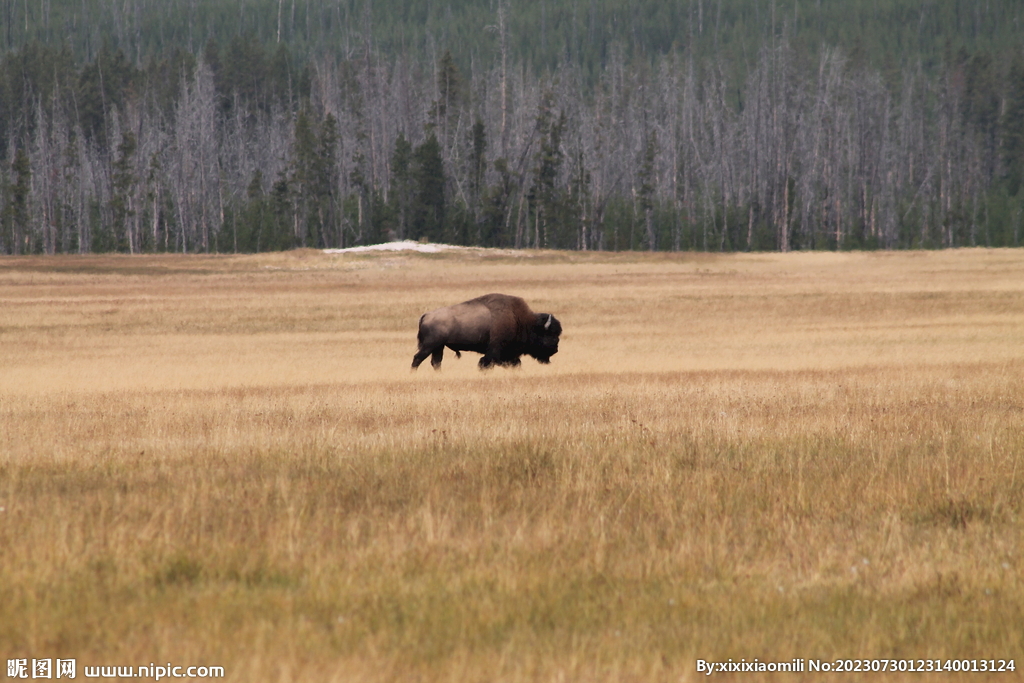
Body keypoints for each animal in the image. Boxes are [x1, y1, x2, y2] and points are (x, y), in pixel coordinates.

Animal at [411, 292, 565, 370]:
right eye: (549, 334)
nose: (556, 349)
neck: (520, 320)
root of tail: (426, 315)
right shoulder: (495, 350)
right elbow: (485, 363)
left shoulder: (508, 355)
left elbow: (515, 363)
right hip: (430, 345)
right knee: (417, 358)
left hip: (439, 346)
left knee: (436, 362)